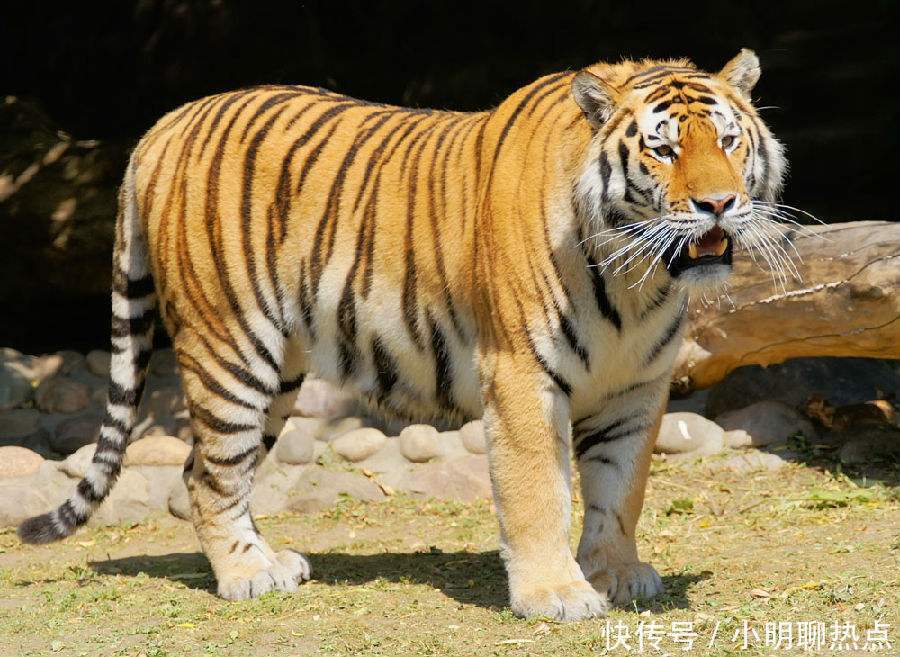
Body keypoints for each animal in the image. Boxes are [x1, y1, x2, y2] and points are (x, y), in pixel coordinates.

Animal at [20, 48, 786, 620]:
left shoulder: (636, 385)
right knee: (210, 472)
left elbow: (620, 490)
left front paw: (616, 574)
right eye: (662, 150)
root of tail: (166, 122)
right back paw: (246, 576)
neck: (638, 278)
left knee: (201, 468)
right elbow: (539, 489)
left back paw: (273, 561)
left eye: (727, 140)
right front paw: (556, 594)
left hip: (279, 370)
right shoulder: (520, 374)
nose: (719, 204)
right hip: (231, 347)